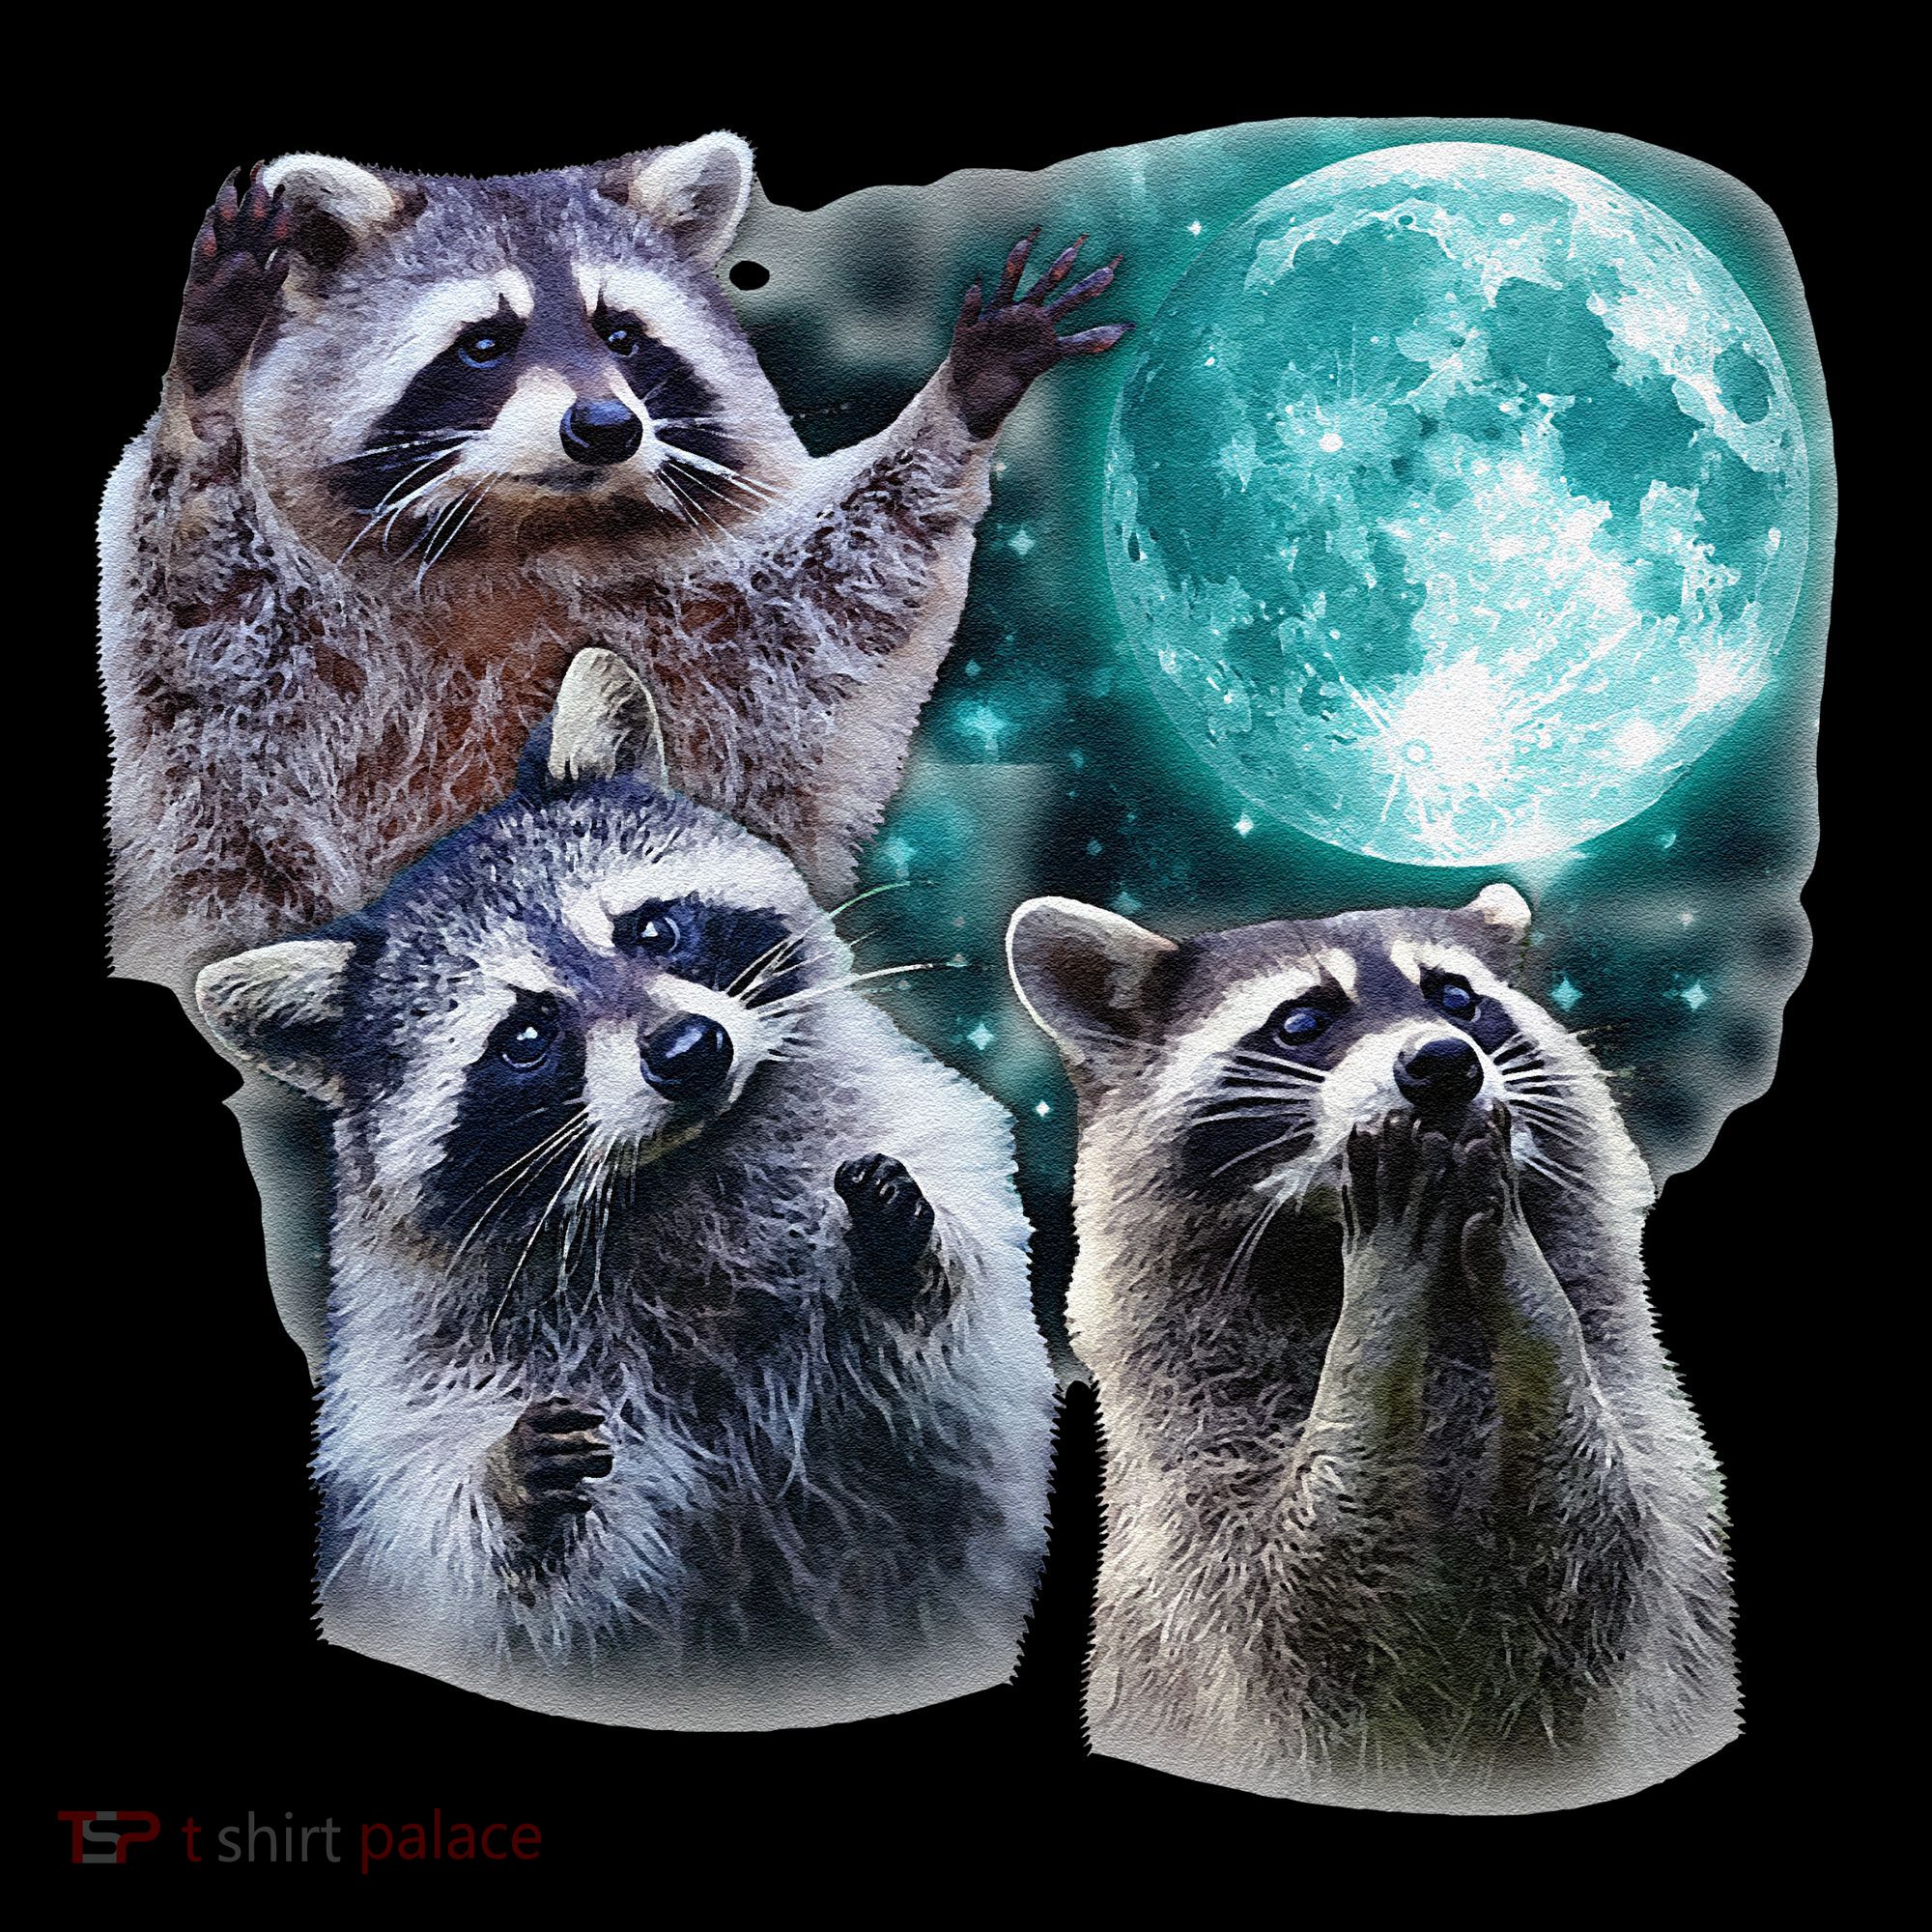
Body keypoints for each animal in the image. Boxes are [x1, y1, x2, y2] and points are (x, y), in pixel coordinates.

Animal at [103, 140, 1129, 999]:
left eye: (623, 335)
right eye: (485, 343)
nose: (605, 426)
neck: (528, 533)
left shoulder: (721, 633)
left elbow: (850, 587)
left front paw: (963, 398)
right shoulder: (274, 692)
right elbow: (203, 604)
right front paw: (208, 383)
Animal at [197, 651, 1054, 1730]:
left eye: (651, 930)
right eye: (525, 1036)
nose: (689, 1050)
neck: (676, 1163)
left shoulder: (903, 1134)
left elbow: (963, 1336)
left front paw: (910, 1256)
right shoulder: (426, 1365)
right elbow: (467, 1549)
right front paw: (502, 1486)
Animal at [1007, 887, 1737, 1812]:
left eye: (1457, 1000)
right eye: (1301, 1022)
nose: (1444, 1062)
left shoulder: (1646, 1423)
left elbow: (1601, 1567)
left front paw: (1533, 1299)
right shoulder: (1191, 1462)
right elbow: (1298, 1614)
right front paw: (1377, 1312)